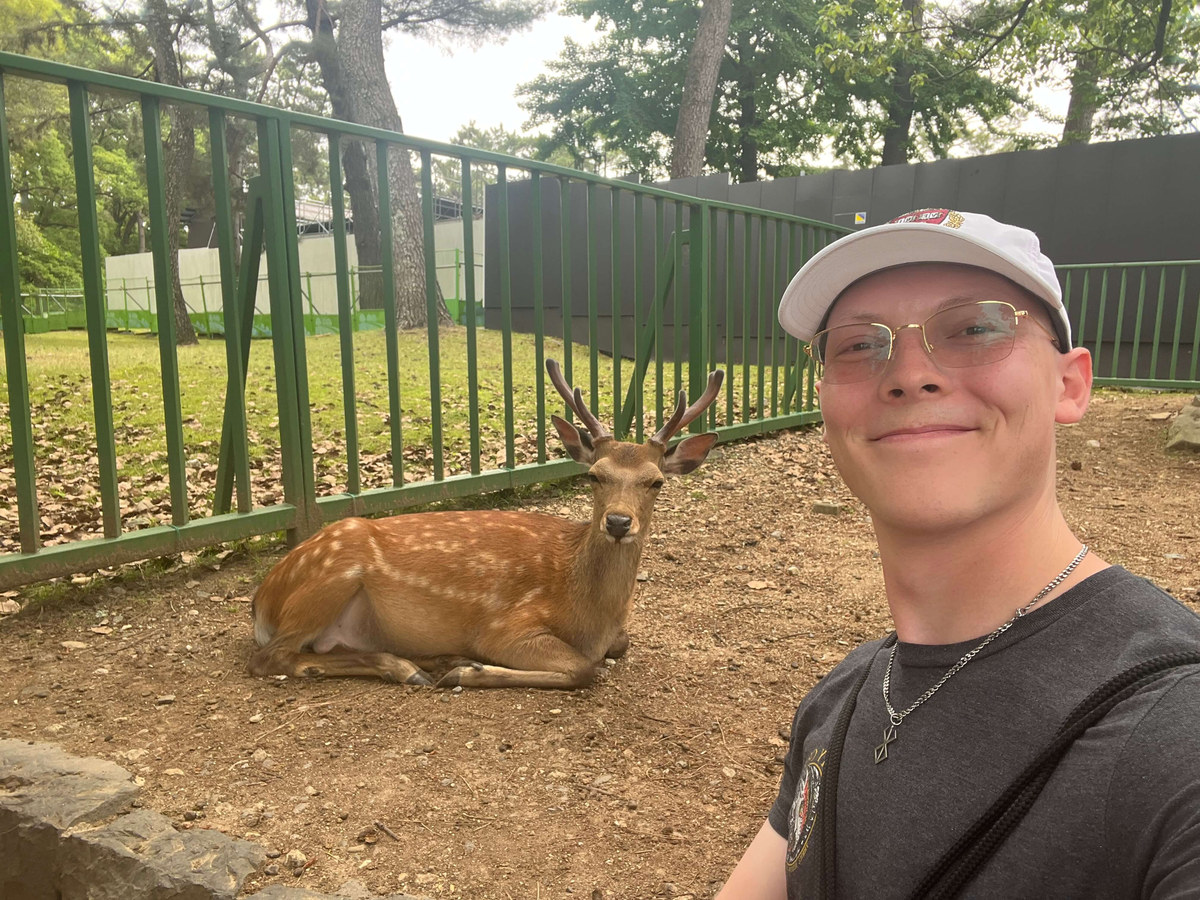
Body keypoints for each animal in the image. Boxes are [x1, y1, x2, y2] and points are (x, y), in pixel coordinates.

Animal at [247, 358, 724, 689]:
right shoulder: (503, 628)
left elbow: (620, 646)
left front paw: (459, 667)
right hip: (331, 577)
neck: (590, 615)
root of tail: (261, 600)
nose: (619, 522)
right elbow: (585, 668)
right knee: (269, 658)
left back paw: (424, 663)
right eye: (594, 475)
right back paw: (417, 667)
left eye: (656, 481)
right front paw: (469, 671)